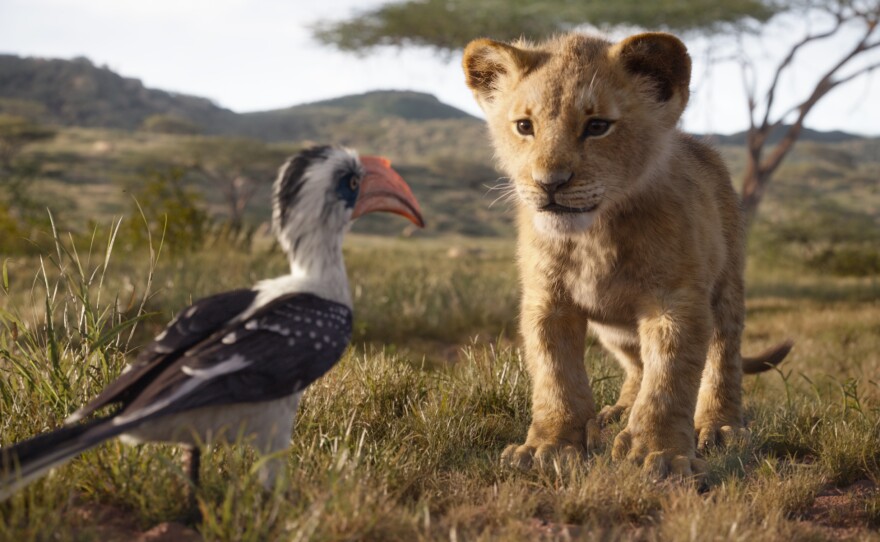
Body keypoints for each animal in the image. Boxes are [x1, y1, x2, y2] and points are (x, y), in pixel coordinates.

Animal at [462, 31, 791, 478]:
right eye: (524, 127)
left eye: (597, 126)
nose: (549, 183)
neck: (594, 235)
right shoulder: (547, 301)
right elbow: (555, 376)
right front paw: (549, 446)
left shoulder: (675, 300)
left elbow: (669, 379)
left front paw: (661, 453)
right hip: (614, 329)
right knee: (637, 364)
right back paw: (617, 412)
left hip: (727, 288)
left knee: (723, 356)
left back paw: (719, 426)